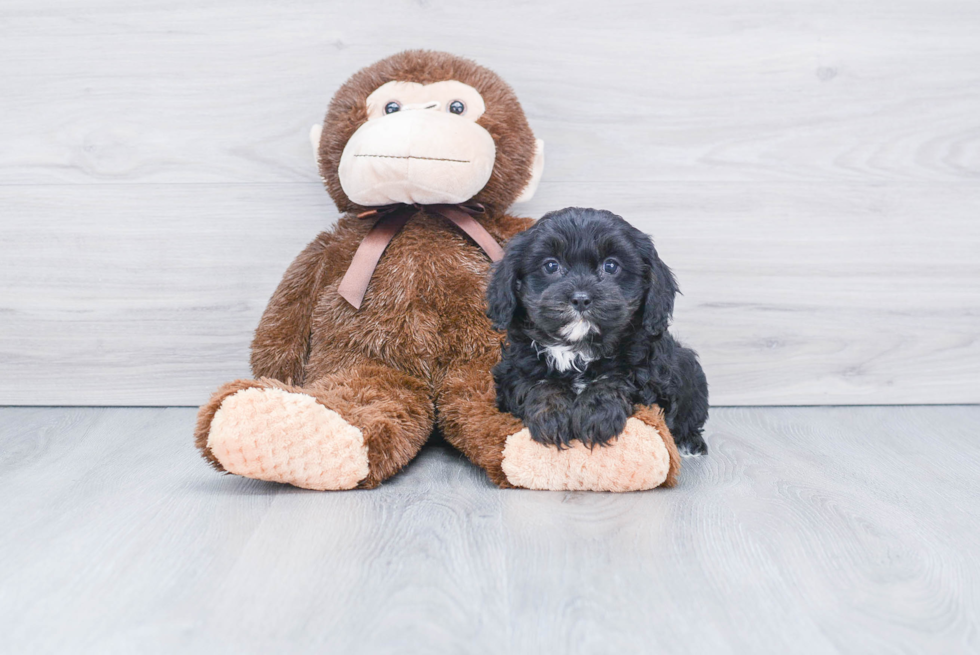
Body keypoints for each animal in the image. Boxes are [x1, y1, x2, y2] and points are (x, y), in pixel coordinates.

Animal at [488, 208, 704, 454]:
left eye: (610, 266)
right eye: (551, 266)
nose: (581, 299)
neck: (579, 348)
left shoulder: (650, 373)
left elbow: (618, 379)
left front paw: (597, 413)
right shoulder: (513, 371)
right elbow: (535, 382)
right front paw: (552, 415)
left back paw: (690, 442)